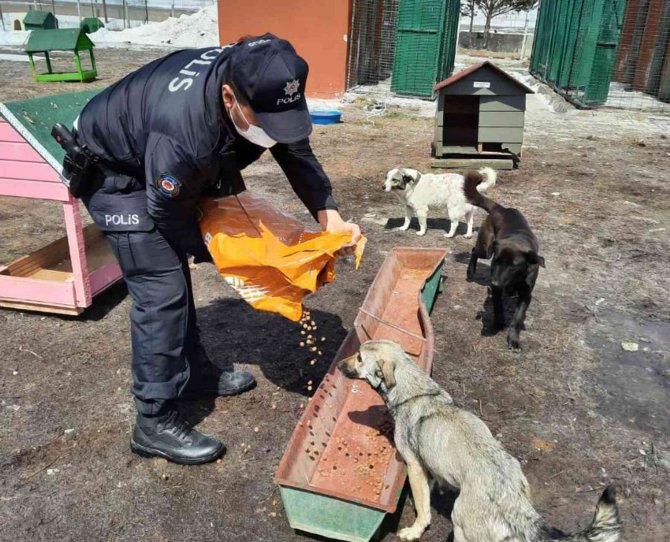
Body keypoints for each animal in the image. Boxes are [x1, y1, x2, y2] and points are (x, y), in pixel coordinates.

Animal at [468, 172, 544, 350]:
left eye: (514, 266)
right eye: (497, 261)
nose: (494, 283)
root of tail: (500, 208)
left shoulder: (526, 294)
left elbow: (518, 317)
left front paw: (514, 339)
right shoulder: (496, 286)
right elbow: (498, 307)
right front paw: (498, 323)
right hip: (486, 248)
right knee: (474, 251)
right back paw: (470, 271)